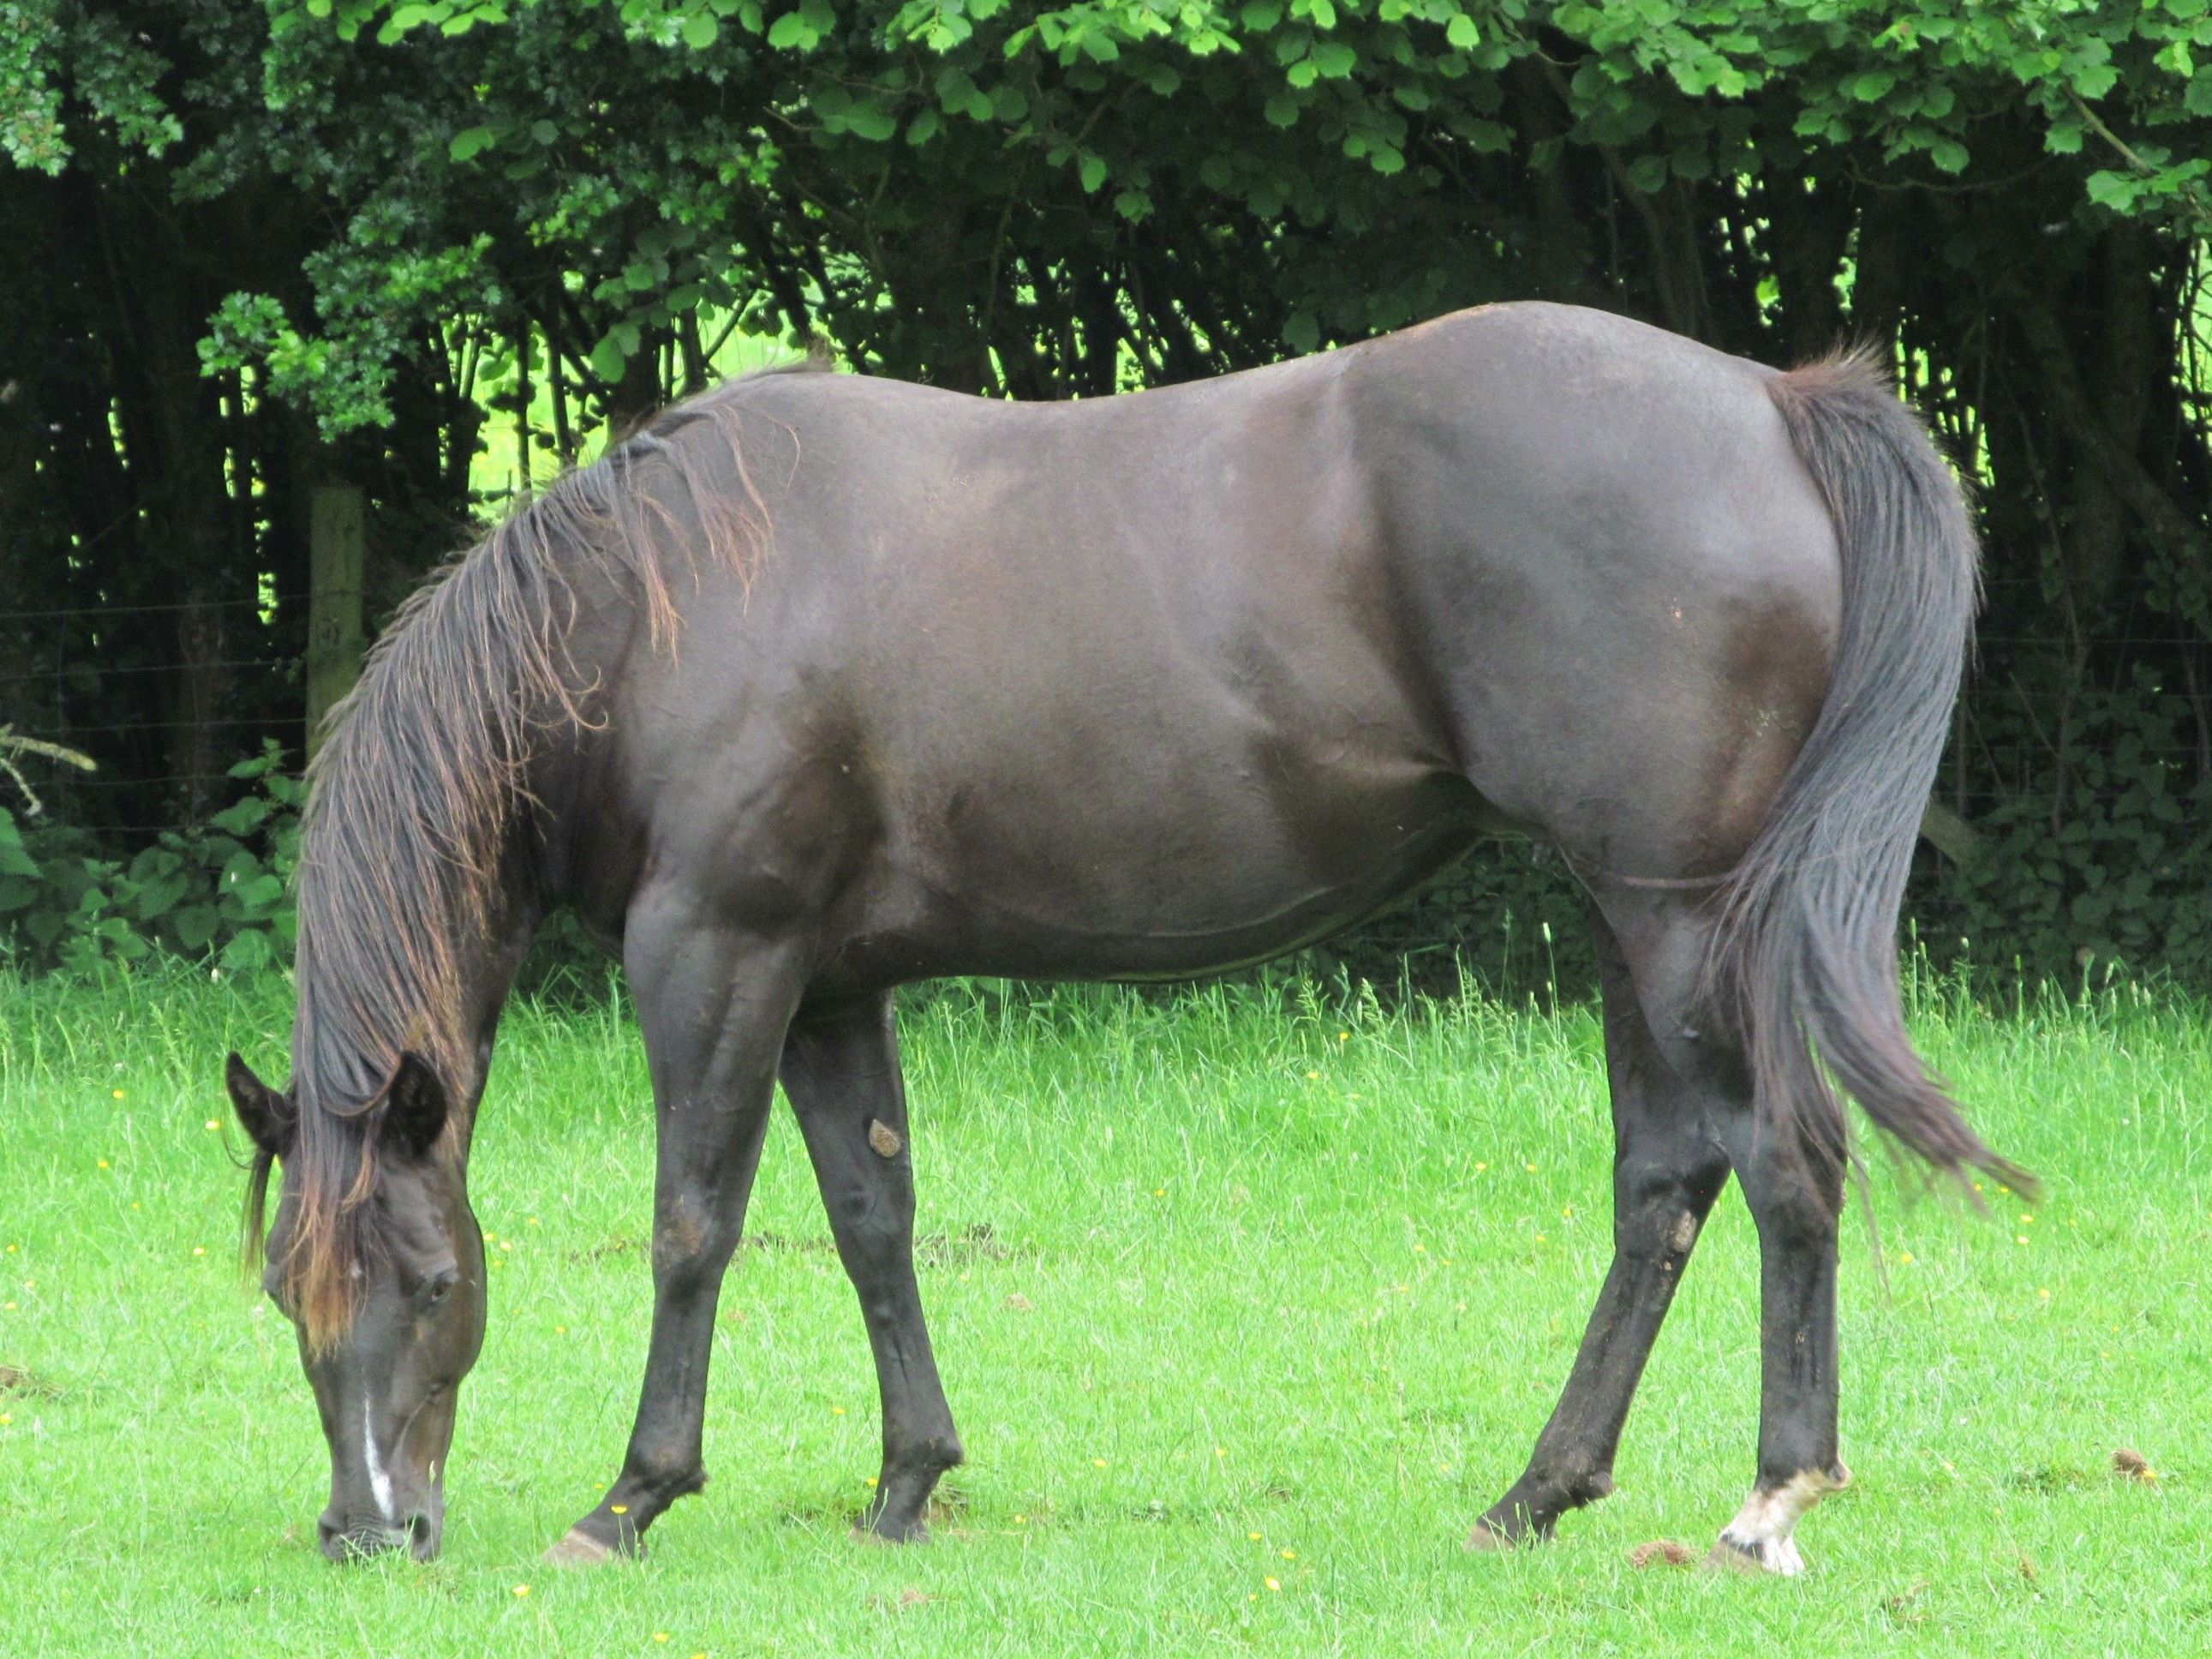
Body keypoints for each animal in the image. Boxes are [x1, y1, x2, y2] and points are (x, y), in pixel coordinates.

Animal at [229, 305, 2026, 1574]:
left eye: (431, 1278)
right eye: (283, 1295)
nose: (365, 1532)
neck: (656, 604)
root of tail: (1773, 403)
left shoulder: (714, 955)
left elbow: (692, 1225)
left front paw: (632, 1499)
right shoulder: (829, 987)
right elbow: (871, 1218)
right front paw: (906, 1482)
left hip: (1677, 921)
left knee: (1784, 1163)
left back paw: (1767, 1497)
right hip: (1629, 917)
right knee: (1663, 1184)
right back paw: (1536, 1492)